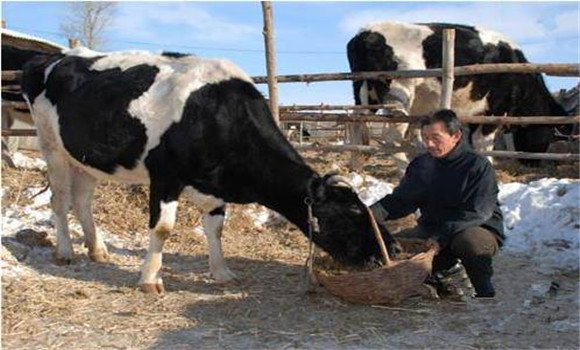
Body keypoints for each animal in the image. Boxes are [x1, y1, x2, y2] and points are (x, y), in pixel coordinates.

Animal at [20, 47, 392, 292]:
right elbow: (162, 229)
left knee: (82, 200)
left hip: (85, 158)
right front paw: (149, 280)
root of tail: (55, 58)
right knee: (60, 199)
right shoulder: (165, 177)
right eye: (353, 213)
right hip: (51, 146)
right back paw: (65, 252)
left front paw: (222, 272)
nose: (390, 250)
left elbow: (216, 228)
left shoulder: (214, 186)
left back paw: (97, 251)